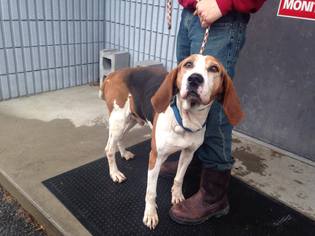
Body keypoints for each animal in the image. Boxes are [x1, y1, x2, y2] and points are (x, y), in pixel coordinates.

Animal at [100, 54, 243, 230]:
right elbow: (151, 192)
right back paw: (115, 173)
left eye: (214, 68)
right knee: (109, 149)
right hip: (119, 121)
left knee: (119, 139)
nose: (195, 79)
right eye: (188, 64)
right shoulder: (155, 157)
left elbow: (179, 178)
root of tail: (114, 74)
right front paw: (150, 214)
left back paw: (124, 153)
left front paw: (177, 196)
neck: (186, 120)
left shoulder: (188, 153)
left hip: (131, 119)